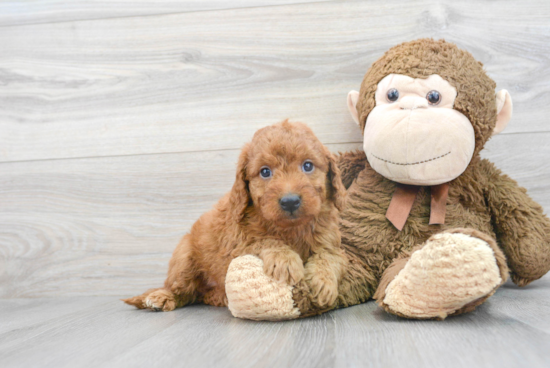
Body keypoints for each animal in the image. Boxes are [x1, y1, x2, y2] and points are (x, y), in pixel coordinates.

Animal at [125, 120, 350, 310]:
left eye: (308, 165)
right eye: (265, 172)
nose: (290, 201)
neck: (291, 228)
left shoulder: (332, 245)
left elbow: (329, 258)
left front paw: (324, 283)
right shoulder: (238, 244)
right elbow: (265, 240)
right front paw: (285, 260)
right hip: (184, 257)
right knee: (182, 290)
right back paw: (161, 297)